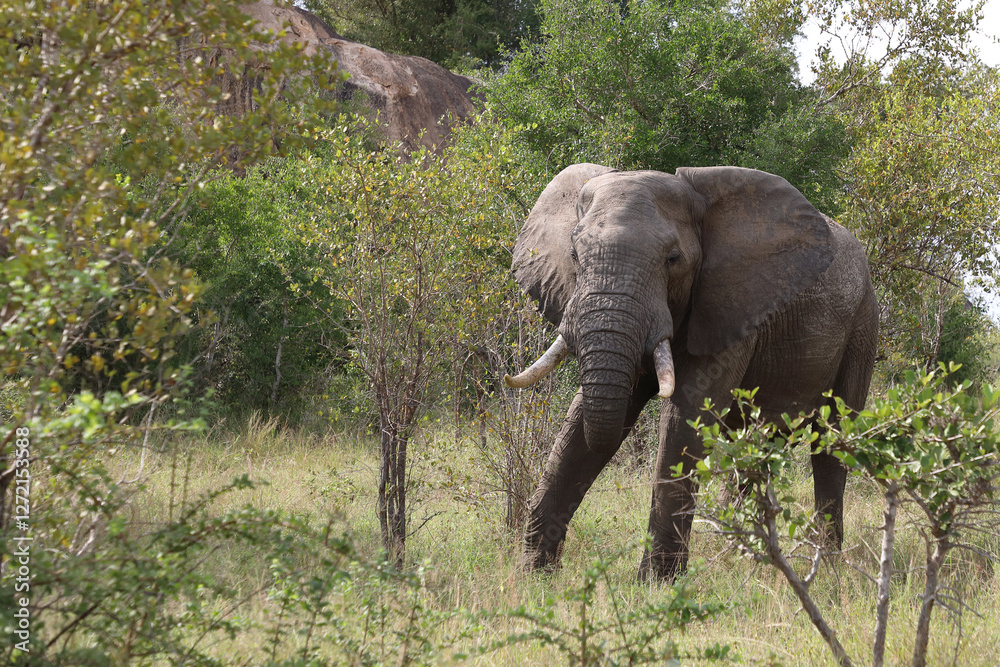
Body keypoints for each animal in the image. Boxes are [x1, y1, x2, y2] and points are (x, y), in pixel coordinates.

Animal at [504, 163, 878, 581]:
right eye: (573, 253)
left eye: (673, 259)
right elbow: (578, 426)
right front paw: (533, 574)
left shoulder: (729, 307)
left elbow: (684, 416)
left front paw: (657, 583)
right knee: (759, 448)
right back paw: (745, 557)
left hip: (863, 325)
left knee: (832, 443)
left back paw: (826, 567)